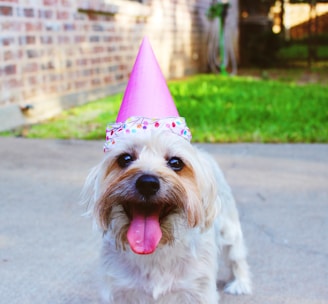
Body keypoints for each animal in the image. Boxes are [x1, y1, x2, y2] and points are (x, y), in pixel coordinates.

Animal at [81, 125, 251, 302]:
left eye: (176, 162)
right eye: (125, 158)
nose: (147, 183)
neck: (155, 250)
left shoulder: (198, 290)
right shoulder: (119, 290)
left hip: (230, 230)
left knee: (237, 256)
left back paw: (240, 283)